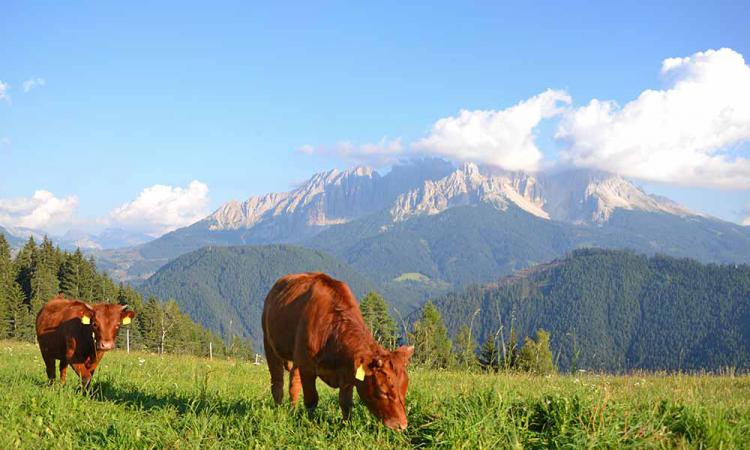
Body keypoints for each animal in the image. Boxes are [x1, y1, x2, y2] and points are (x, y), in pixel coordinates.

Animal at [262, 272, 418, 430]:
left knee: (294, 381)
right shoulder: (307, 367)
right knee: (277, 382)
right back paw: (279, 410)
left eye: (405, 387)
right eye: (383, 391)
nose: (402, 425)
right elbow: (311, 399)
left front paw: (347, 425)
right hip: (269, 344)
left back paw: (292, 410)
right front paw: (311, 424)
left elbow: (346, 402)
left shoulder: (348, 372)